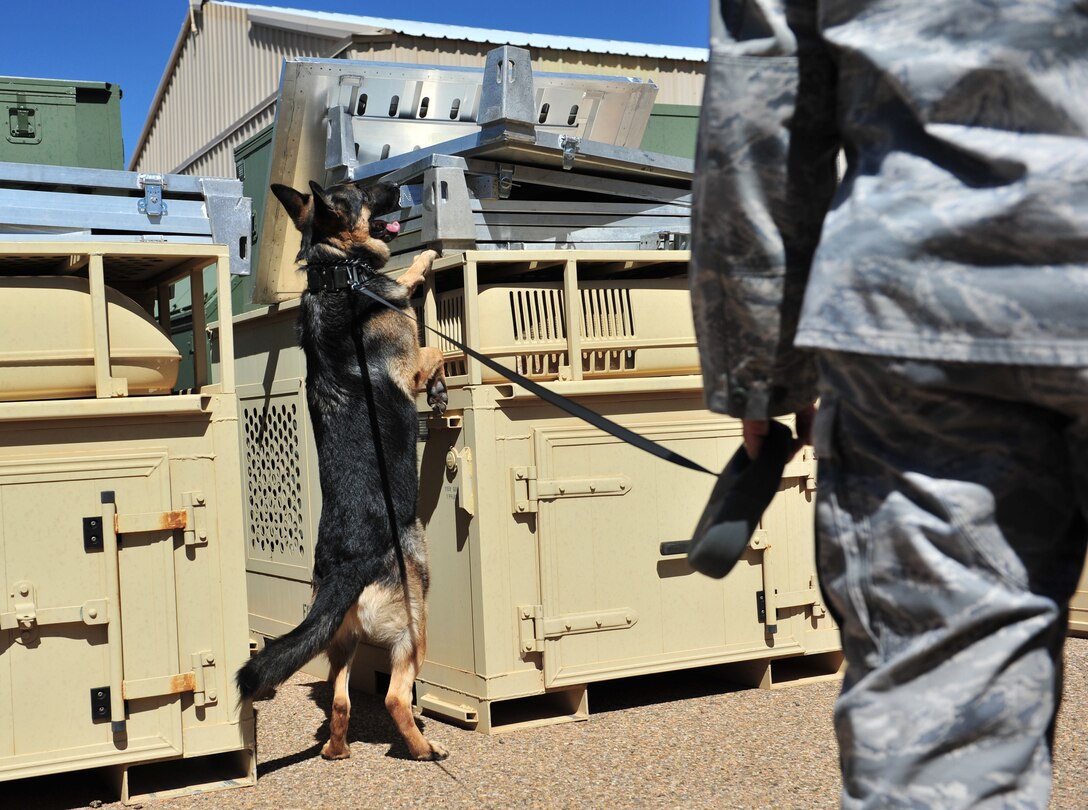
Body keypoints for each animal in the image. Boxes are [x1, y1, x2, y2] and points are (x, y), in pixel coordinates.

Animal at [236, 175, 448, 757]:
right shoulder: (412, 365)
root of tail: (347, 567)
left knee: (340, 700)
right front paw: (422, 260)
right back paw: (425, 749)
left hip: (342, 643)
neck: (337, 274)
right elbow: (438, 351)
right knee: (395, 697)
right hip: (415, 621)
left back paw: (337, 748)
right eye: (364, 191)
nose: (397, 184)